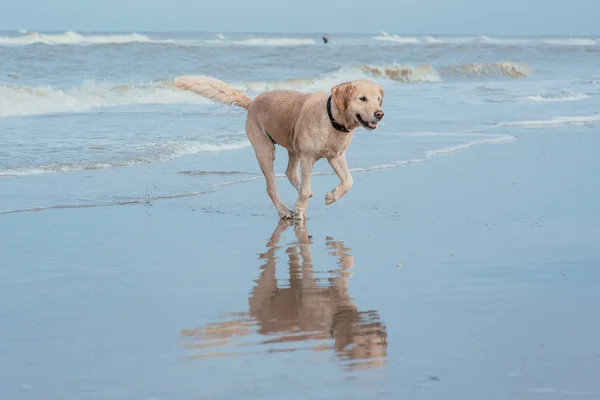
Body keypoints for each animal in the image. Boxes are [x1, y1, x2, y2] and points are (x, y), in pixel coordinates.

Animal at [173, 74, 384, 219]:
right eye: (362, 98)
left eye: (378, 99)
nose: (380, 114)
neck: (332, 119)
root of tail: (252, 103)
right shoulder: (308, 158)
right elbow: (306, 189)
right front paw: (299, 209)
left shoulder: (336, 156)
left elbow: (349, 181)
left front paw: (332, 196)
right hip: (265, 150)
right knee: (271, 186)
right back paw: (284, 211)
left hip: (292, 146)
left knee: (290, 172)